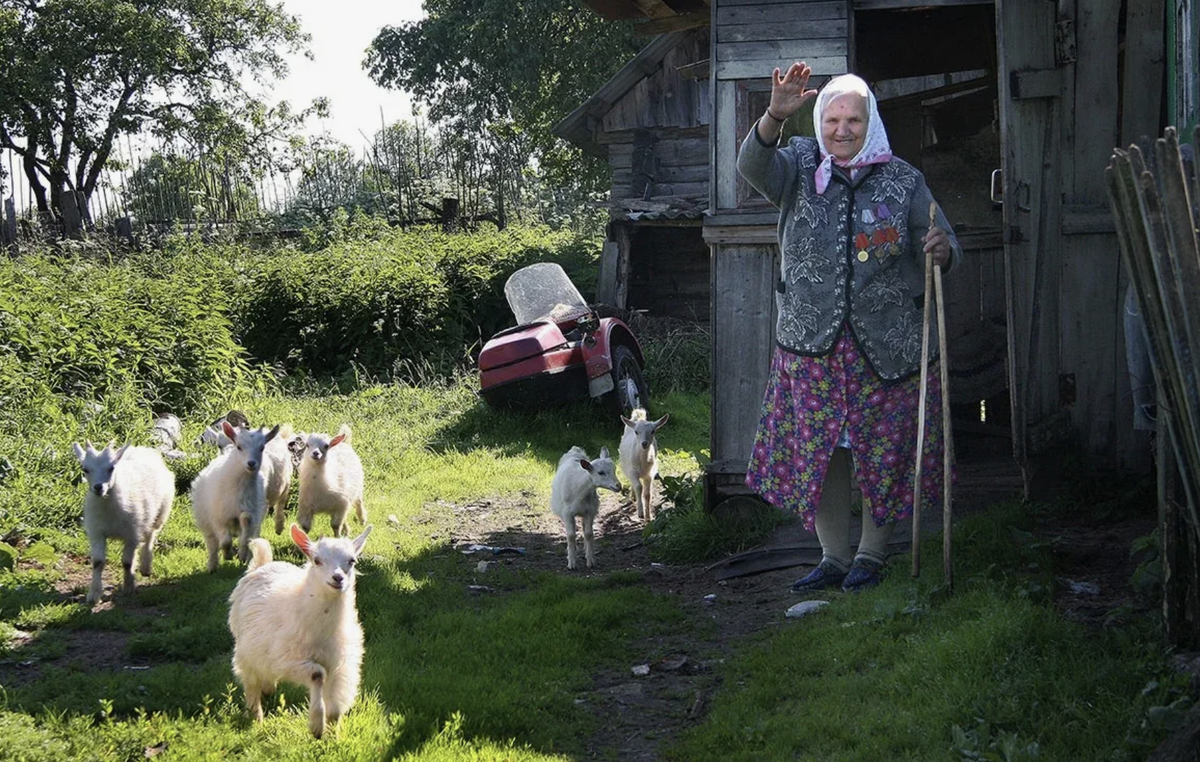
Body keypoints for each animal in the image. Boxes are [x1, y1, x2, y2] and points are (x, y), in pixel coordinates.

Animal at [72, 444, 174, 604]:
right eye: (85, 469)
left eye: (111, 468)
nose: (98, 487)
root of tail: (141, 447)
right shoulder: (96, 532)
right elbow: (98, 562)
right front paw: (94, 594)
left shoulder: (132, 534)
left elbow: (127, 562)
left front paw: (128, 586)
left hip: (160, 512)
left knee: (150, 535)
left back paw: (145, 565)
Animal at [189, 422, 288, 571]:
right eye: (239, 447)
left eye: (262, 447)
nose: (251, 463)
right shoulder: (218, 518)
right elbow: (225, 541)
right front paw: (228, 554)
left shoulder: (251, 514)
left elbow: (245, 533)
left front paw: (241, 554)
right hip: (205, 520)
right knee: (212, 543)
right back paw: (212, 566)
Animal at [226, 525, 369, 739]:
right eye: (317, 560)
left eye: (352, 561)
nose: (338, 578)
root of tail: (262, 565)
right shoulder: (285, 660)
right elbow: (317, 674)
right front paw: (317, 725)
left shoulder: (341, 664)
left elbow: (336, 706)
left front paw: (332, 732)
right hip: (247, 649)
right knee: (251, 679)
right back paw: (256, 716)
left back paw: (268, 689)